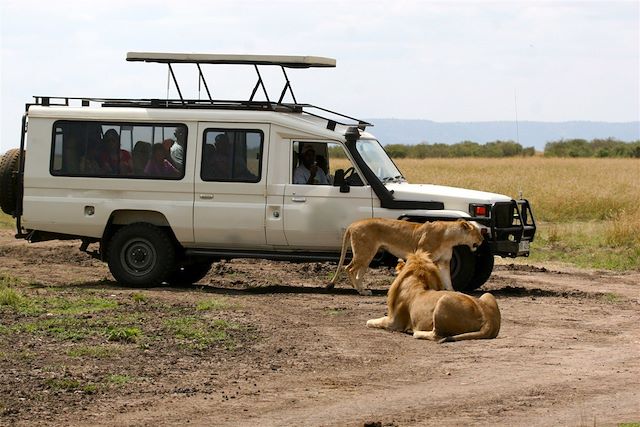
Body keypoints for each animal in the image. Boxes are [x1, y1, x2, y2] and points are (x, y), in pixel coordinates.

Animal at [328, 219, 482, 296]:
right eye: (478, 233)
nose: (482, 240)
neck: (449, 238)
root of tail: (352, 224)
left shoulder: (444, 262)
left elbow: (448, 280)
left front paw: (453, 293)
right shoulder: (423, 255)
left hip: (368, 254)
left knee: (358, 273)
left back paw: (364, 291)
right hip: (364, 252)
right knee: (349, 268)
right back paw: (358, 290)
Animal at [364, 251, 500, 344]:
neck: (416, 281)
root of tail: (488, 319)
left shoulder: (394, 323)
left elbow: (371, 322)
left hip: (443, 301)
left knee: (437, 335)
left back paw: (416, 332)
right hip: (488, 295)